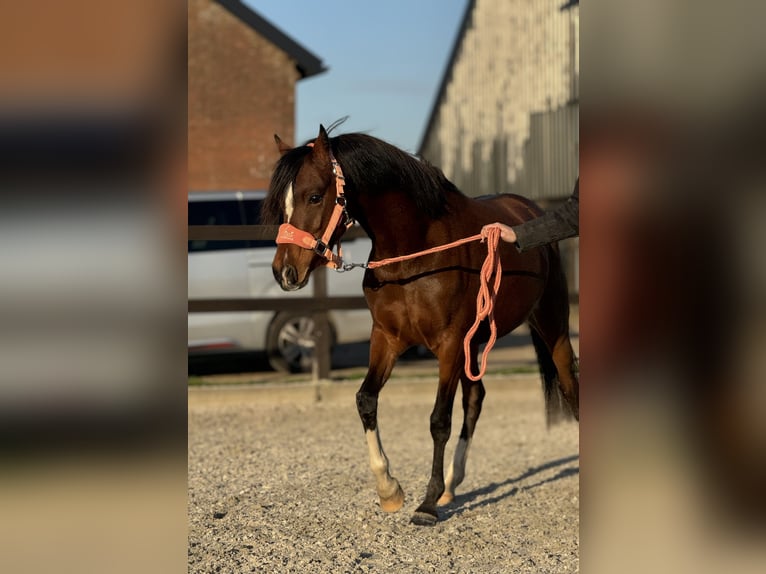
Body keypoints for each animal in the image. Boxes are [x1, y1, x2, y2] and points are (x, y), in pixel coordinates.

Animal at [260, 125, 580, 528]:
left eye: (314, 196)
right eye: (282, 203)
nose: (284, 272)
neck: (416, 253)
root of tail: (530, 209)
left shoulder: (449, 344)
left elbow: (439, 420)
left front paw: (427, 504)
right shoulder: (387, 338)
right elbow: (366, 400)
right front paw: (389, 490)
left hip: (551, 327)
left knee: (568, 383)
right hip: (475, 344)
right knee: (476, 398)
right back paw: (452, 483)